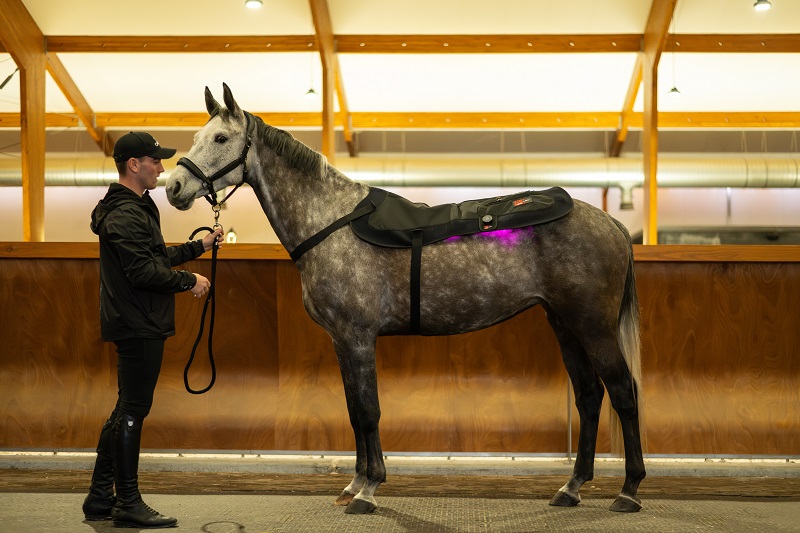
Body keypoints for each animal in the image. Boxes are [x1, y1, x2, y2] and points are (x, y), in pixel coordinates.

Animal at [166, 84, 646, 515]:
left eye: (220, 139)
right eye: (195, 138)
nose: (174, 188)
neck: (330, 222)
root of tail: (610, 222)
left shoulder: (358, 337)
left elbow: (369, 410)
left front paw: (368, 490)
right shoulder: (341, 341)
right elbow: (353, 410)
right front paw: (354, 483)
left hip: (593, 326)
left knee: (623, 391)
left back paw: (629, 490)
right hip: (564, 324)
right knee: (589, 396)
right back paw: (571, 488)